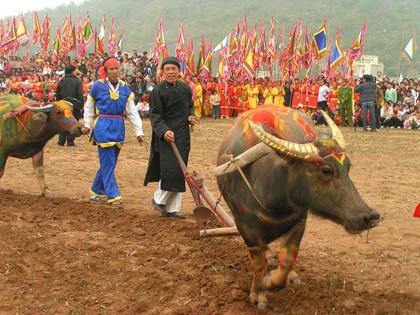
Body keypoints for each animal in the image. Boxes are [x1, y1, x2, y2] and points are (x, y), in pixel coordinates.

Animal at [217, 105, 380, 308]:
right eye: (326, 170)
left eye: (348, 167)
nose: (369, 216)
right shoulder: (244, 226)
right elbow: (258, 262)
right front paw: (258, 292)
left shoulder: (299, 221)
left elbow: (287, 259)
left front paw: (273, 281)